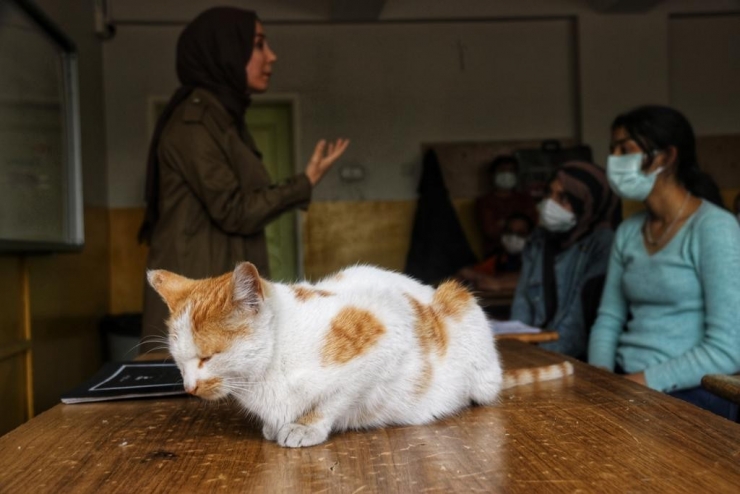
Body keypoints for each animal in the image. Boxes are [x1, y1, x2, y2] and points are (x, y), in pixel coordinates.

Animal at [149, 262, 572, 448]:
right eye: (178, 361)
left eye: (208, 357)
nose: (188, 388)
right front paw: (275, 425)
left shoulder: (386, 337)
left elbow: (336, 399)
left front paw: (305, 427)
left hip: (461, 306)